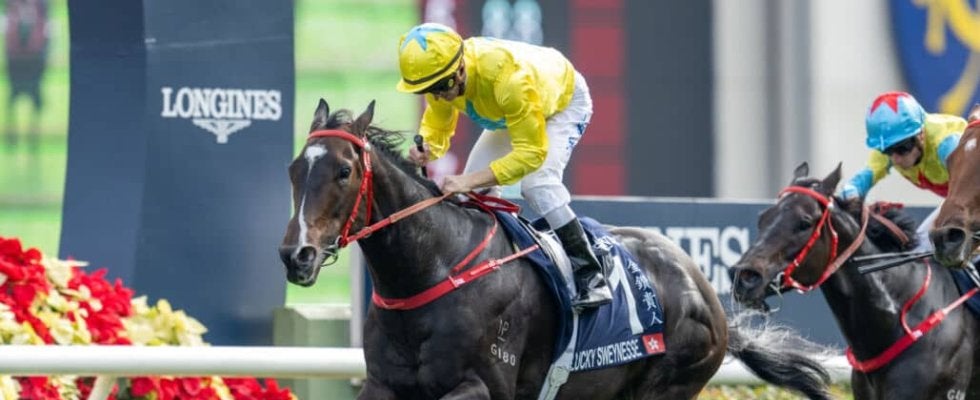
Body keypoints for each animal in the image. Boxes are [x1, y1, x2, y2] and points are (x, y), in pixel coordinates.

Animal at [278, 99, 833, 400]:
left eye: (344, 171)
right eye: (294, 169)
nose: (296, 254)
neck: (433, 270)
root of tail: (706, 291)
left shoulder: (483, 387)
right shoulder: (383, 385)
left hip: (668, 384)